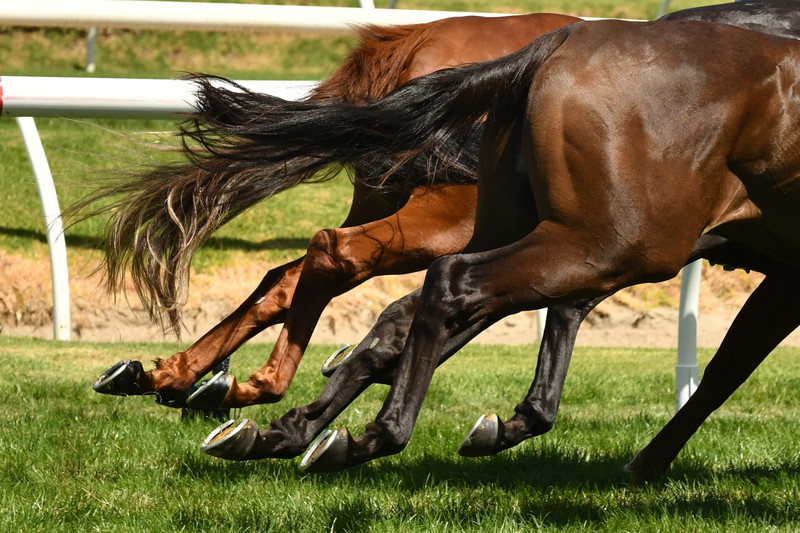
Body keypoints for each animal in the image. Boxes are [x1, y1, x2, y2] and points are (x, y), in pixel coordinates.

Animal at [84, 11, 580, 408]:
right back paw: (261, 384)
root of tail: (419, 37)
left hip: (383, 201)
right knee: (335, 251)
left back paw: (173, 374)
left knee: (288, 277)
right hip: (454, 219)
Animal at [195, 17, 800, 482]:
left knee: (404, 301)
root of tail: (551, 47)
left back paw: (282, 422)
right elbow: (727, 370)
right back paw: (370, 432)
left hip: (532, 229)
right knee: (442, 281)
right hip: (620, 243)